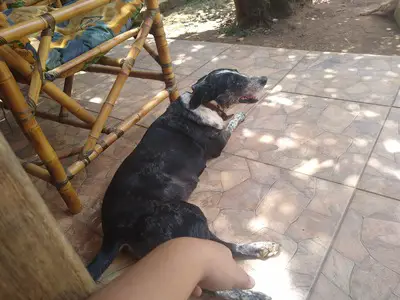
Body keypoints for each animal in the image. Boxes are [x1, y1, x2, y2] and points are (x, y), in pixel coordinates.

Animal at [86, 69, 282, 298]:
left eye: (238, 72)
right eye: (235, 81)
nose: (264, 79)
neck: (205, 103)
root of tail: (112, 234)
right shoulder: (219, 143)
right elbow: (229, 124)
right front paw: (238, 116)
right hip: (190, 215)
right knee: (221, 256)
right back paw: (256, 267)